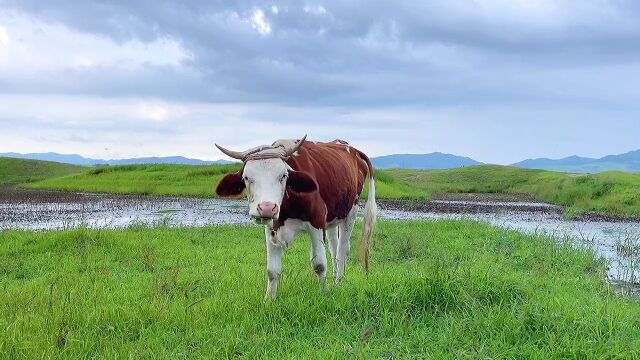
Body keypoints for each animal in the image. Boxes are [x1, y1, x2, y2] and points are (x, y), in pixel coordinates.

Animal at [215, 135, 376, 298]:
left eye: (283, 176)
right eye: (246, 178)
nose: (267, 208)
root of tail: (353, 150)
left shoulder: (317, 222)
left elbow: (319, 264)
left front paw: (323, 294)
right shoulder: (271, 228)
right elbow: (272, 270)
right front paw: (269, 299)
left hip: (351, 213)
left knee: (342, 250)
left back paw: (339, 282)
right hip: (333, 218)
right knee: (334, 247)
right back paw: (335, 281)